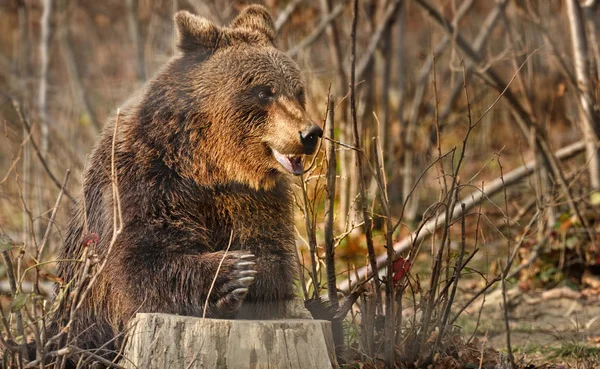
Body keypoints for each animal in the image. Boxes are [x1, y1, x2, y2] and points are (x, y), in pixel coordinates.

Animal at [52, 4, 324, 362]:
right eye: (264, 91)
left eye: (297, 91)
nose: (310, 133)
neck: (207, 165)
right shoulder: (142, 180)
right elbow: (139, 258)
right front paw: (232, 272)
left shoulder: (255, 199)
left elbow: (273, 255)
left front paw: (253, 272)